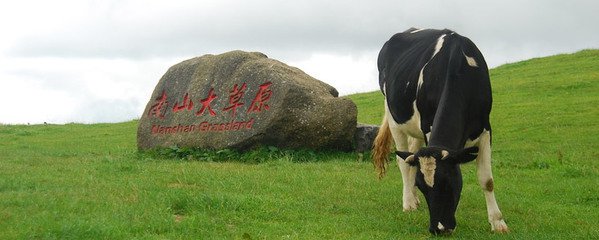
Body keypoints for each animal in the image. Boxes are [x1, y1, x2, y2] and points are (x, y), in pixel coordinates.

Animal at [372, 27, 508, 234]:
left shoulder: (485, 128)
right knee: (402, 161)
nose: (438, 229)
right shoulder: (428, 125)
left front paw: (498, 222)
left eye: (448, 182)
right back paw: (408, 202)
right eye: (423, 187)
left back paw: (413, 199)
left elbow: (487, 180)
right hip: (394, 117)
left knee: (411, 155)